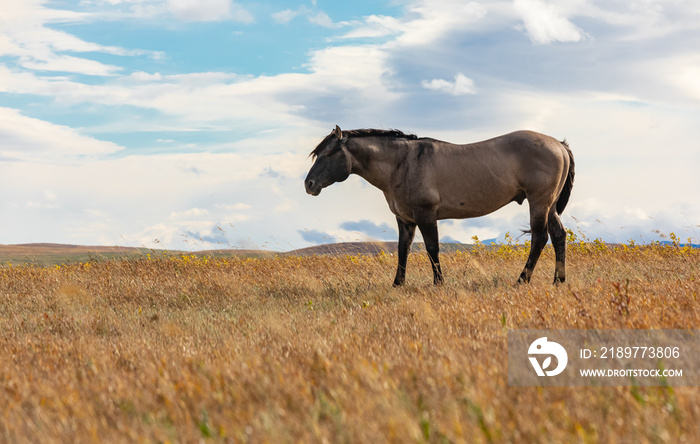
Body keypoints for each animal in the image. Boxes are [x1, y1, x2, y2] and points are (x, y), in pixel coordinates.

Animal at [304, 125, 576, 286]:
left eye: (328, 154)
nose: (309, 184)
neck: (402, 163)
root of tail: (559, 145)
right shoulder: (405, 219)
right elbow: (403, 250)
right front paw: (398, 284)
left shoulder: (426, 214)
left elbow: (432, 249)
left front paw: (439, 283)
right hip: (550, 205)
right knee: (558, 236)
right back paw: (558, 281)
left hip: (539, 202)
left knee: (539, 238)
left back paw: (522, 280)